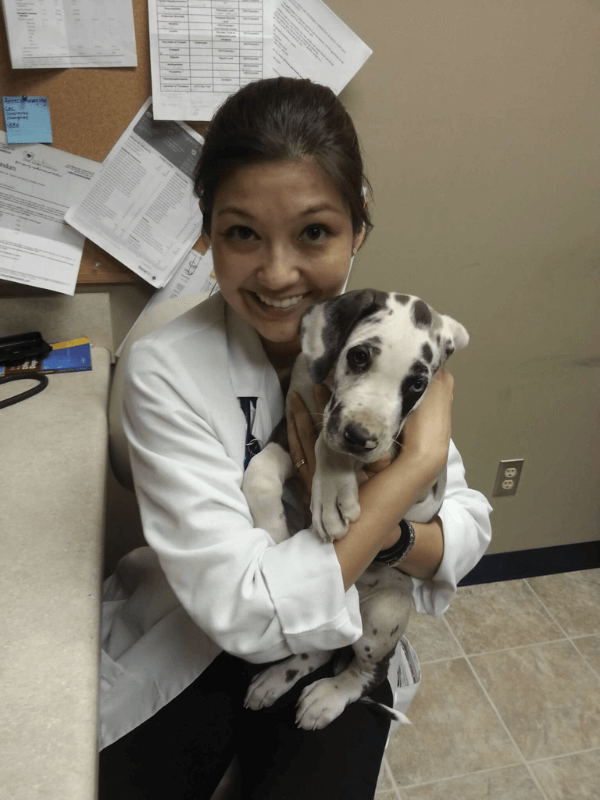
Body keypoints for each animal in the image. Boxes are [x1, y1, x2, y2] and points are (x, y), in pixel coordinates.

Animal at [241, 290, 466, 732]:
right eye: (359, 357)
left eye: (417, 384)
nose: (360, 436)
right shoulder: (291, 425)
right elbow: (259, 471)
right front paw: (274, 532)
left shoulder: (426, 484)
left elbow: (330, 446)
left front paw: (332, 486)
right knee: (319, 650)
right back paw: (277, 678)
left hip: (385, 614)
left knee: (368, 672)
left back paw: (328, 697)